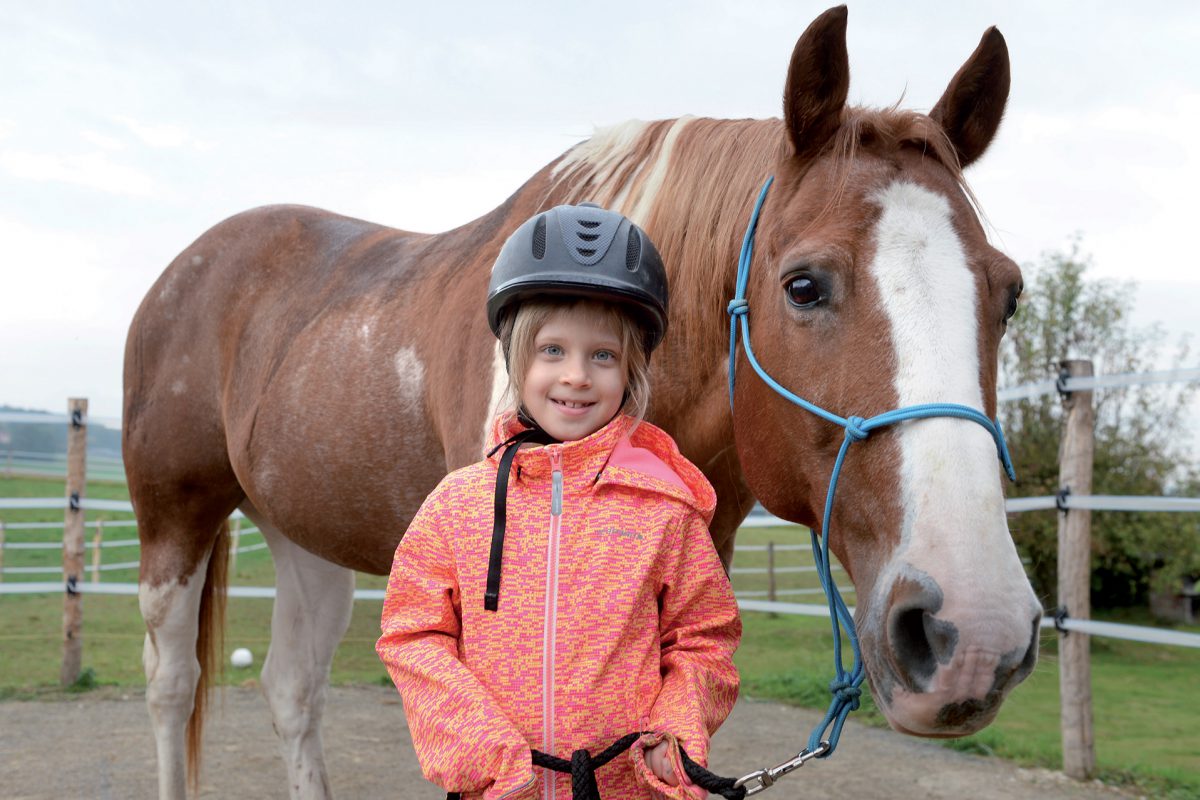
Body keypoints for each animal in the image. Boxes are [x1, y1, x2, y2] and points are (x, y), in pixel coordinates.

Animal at [124, 7, 1041, 800]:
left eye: (1010, 294)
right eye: (804, 285)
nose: (976, 633)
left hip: (303, 539)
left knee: (291, 690)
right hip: (174, 518)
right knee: (172, 684)